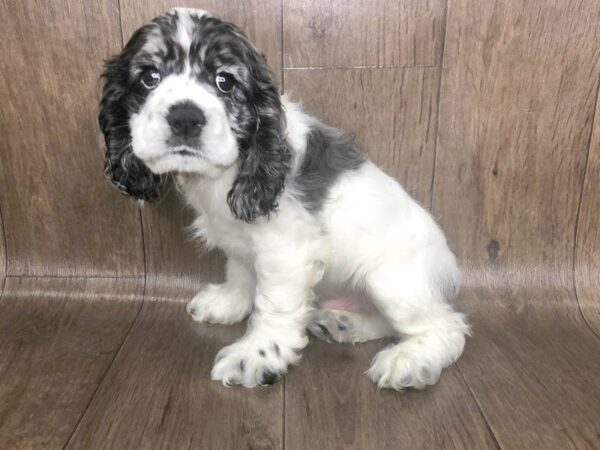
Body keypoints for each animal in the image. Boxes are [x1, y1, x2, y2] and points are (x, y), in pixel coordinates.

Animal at [101, 9, 472, 390]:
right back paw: (344, 323)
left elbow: (273, 306)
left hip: (393, 282)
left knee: (447, 325)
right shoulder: (239, 241)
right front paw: (229, 303)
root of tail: (451, 269)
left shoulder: (286, 253)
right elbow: (240, 272)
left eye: (225, 81)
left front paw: (255, 356)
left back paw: (410, 361)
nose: (186, 117)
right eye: (149, 77)